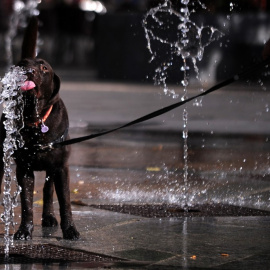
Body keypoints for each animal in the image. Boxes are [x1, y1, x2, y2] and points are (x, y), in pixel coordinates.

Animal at [0, 17, 79, 240]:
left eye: (44, 68)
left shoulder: (61, 168)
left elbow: (65, 202)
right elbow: (26, 202)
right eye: (22, 65)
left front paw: (70, 230)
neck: (34, 120)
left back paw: (49, 217)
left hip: (52, 168)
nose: (29, 71)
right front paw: (24, 231)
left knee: (47, 190)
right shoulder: (24, 169)